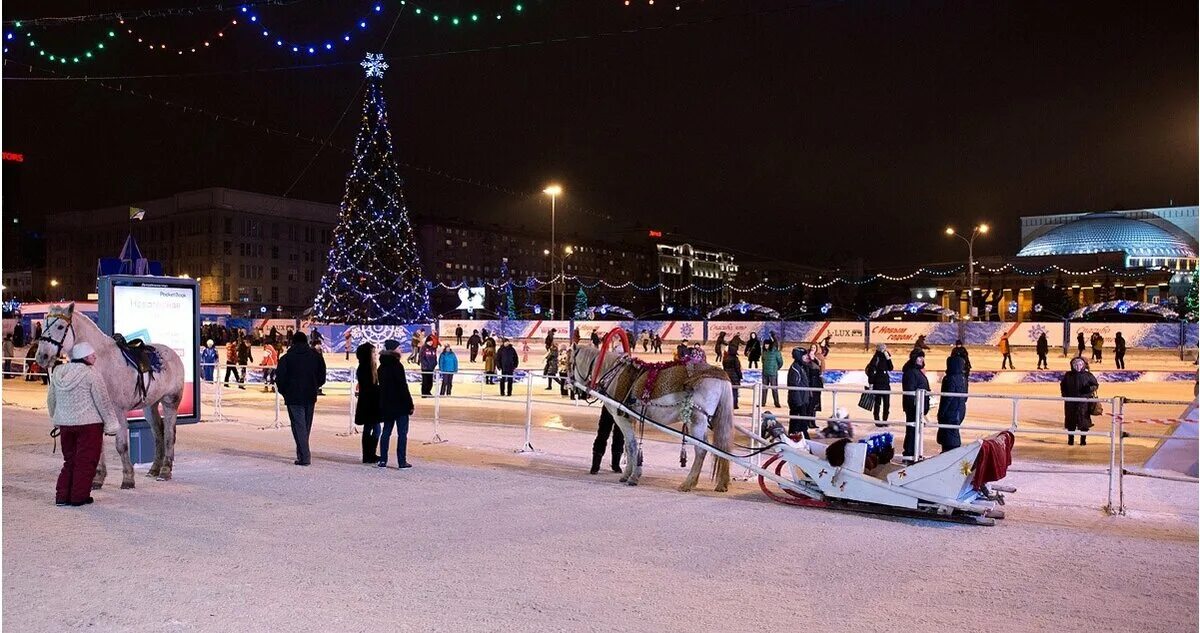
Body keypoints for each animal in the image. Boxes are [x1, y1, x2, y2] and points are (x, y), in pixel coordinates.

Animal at [34, 302, 184, 489]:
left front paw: (128, 479)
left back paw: (165, 471)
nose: (42, 356)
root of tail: (172, 354)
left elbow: (121, 445)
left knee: (169, 434)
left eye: (60, 326)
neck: (99, 362)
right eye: (43, 326)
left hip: (170, 402)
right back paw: (154, 469)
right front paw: (98, 479)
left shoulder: (117, 411)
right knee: (158, 433)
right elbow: (99, 446)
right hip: (150, 406)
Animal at [568, 338, 729, 491]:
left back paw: (688, 483)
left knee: (701, 449)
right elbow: (628, 447)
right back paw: (719, 483)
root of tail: (720, 374)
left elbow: (632, 445)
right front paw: (627, 473)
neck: (614, 375)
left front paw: (633, 476)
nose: (568, 382)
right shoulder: (629, 419)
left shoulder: (621, 419)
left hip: (697, 420)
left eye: (569, 362)